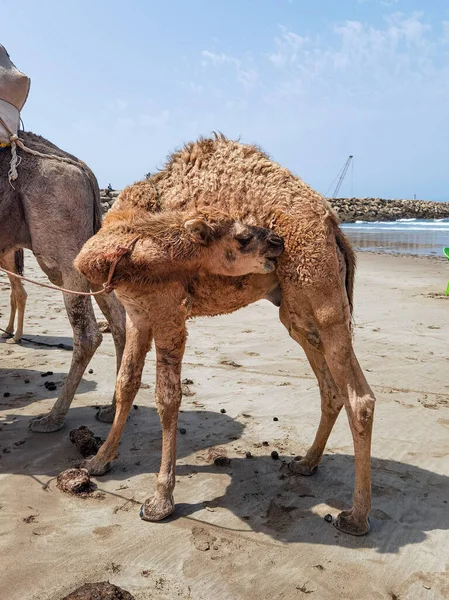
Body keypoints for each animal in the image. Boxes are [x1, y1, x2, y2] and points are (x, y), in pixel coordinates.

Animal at [82, 137, 372, 540]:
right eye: (243, 237)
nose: (277, 241)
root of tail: (333, 226)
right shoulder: (139, 314)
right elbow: (126, 383)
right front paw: (99, 461)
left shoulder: (169, 312)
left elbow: (168, 398)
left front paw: (160, 501)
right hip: (297, 309)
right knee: (330, 387)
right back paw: (305, 463)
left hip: (320, 289)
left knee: (360, 398)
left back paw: (356, 517)